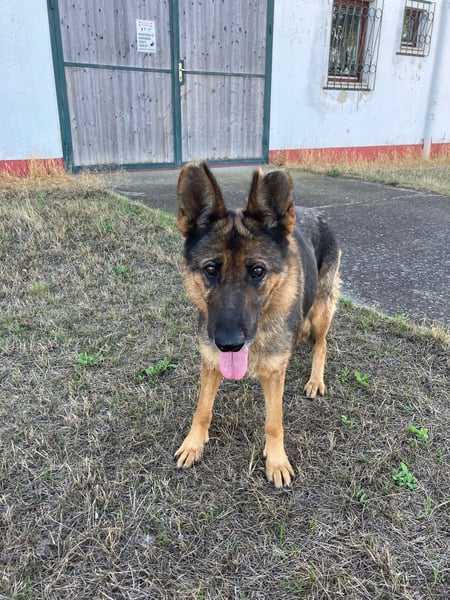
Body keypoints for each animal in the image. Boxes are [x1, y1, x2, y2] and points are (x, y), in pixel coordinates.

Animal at [175, 162, 341, 487]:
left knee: (322, 344)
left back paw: (316, 379)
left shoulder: (275, 374)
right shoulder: (210, 363)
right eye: (210, 269)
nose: (228, 344)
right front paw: (193, 443)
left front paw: (276, 461)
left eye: (257, 271)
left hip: (321, 310)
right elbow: (202, 409)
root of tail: (316, 213)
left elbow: (274, 421)